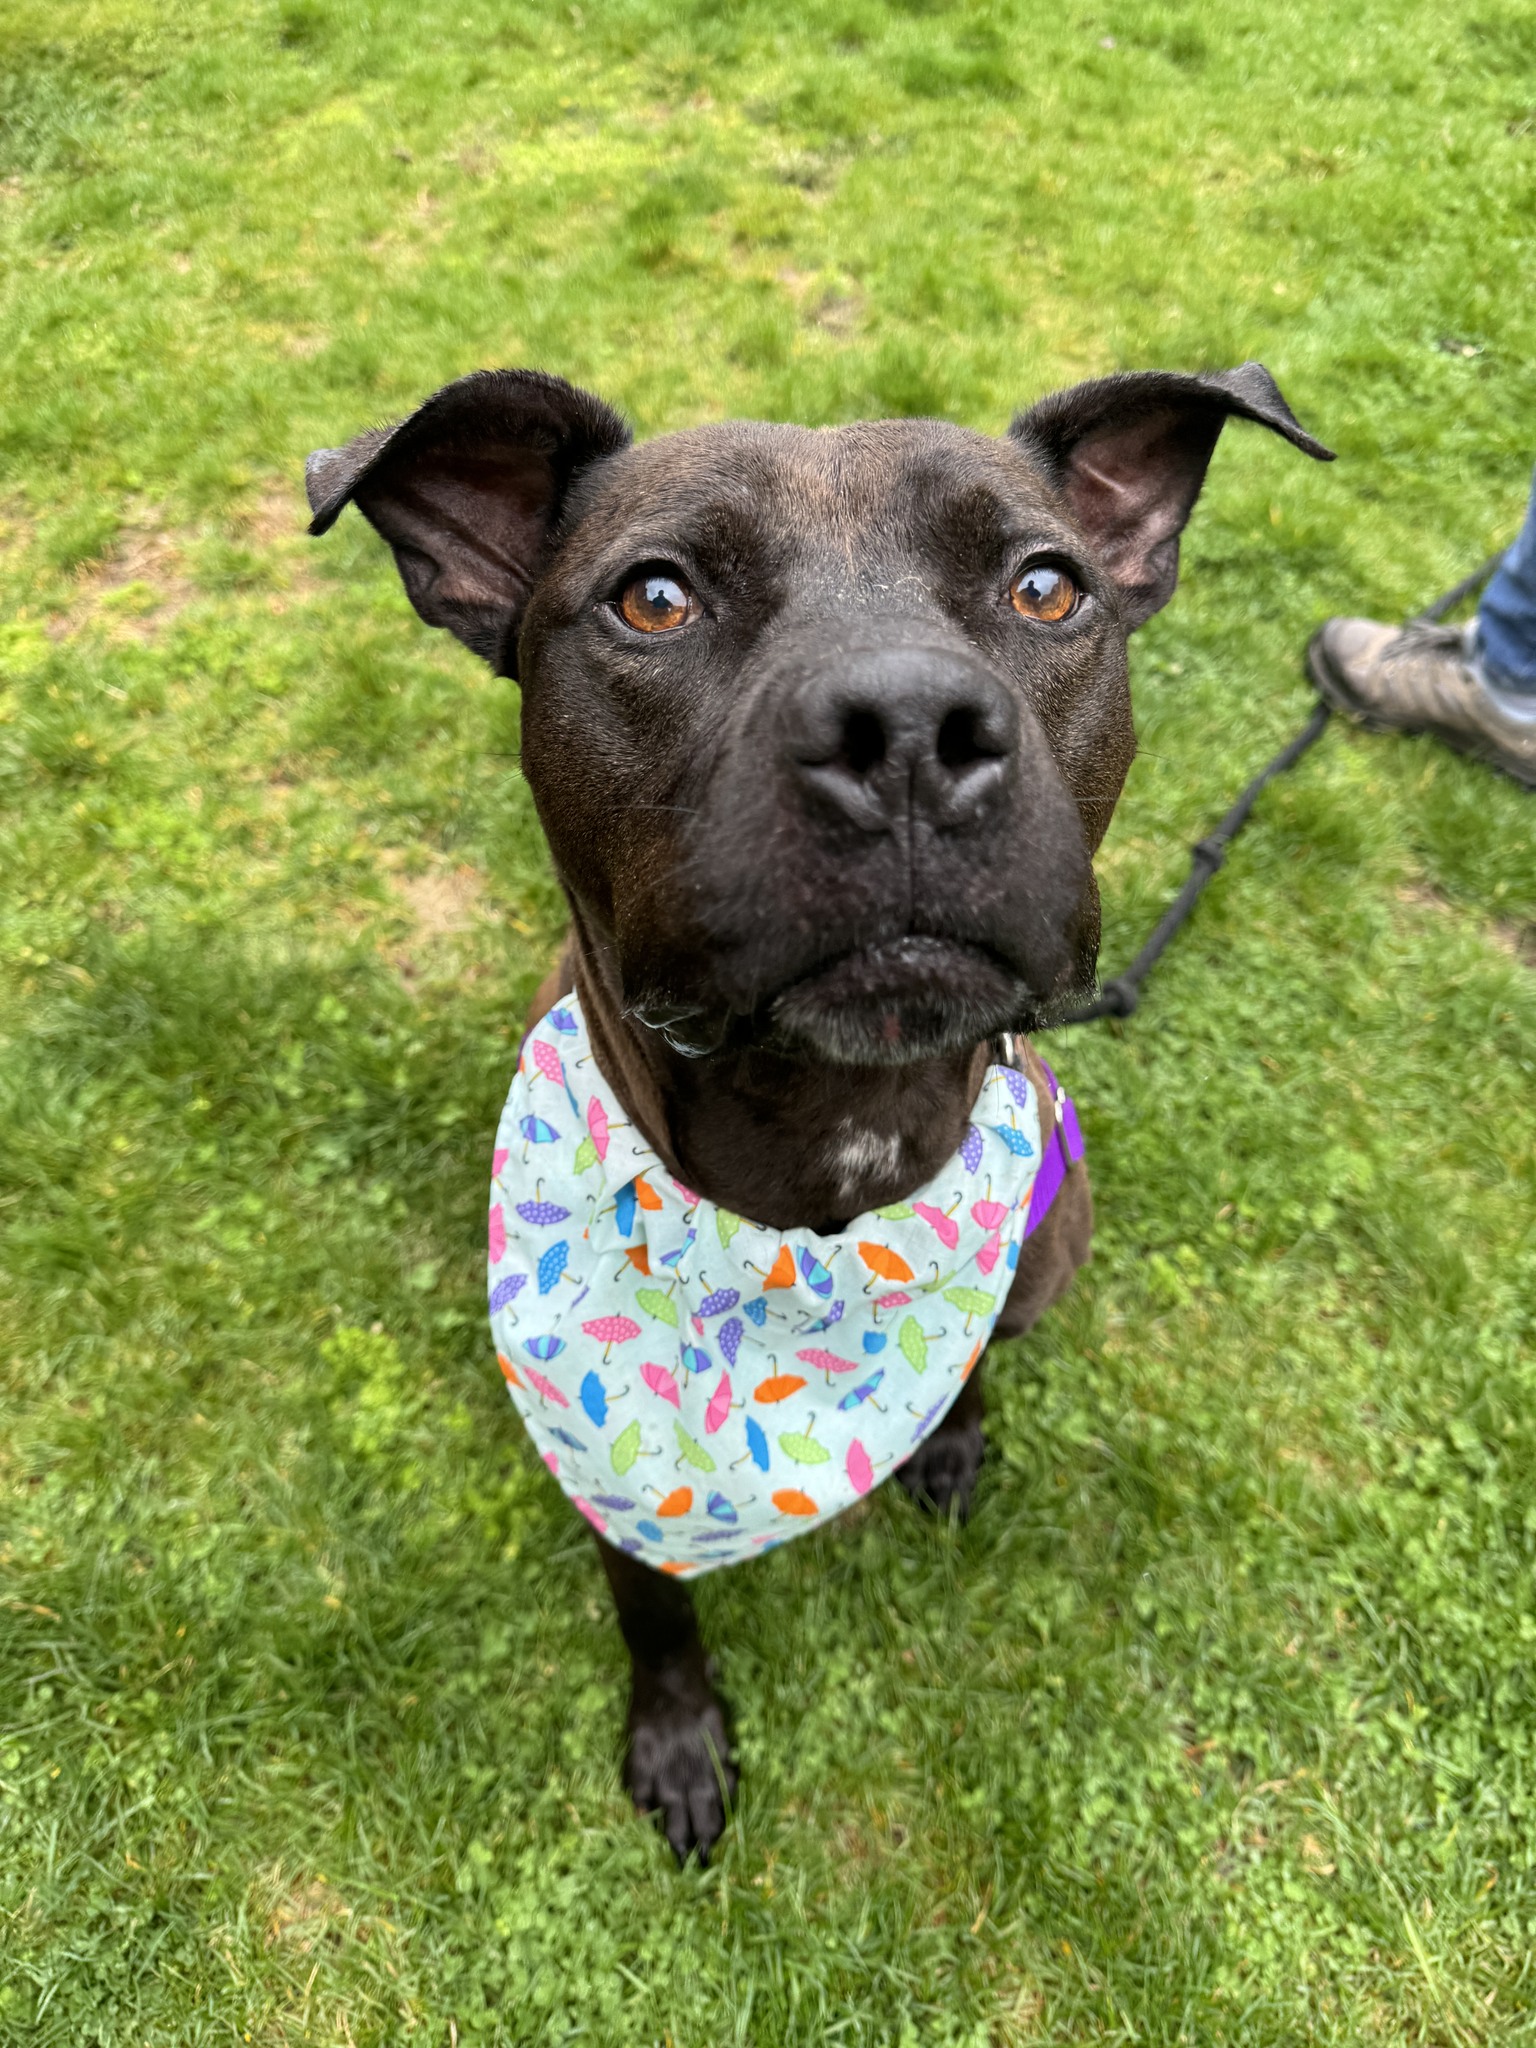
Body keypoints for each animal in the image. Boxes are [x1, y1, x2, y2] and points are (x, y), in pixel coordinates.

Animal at [307, 360, 1327, 1867]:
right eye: (655, 597)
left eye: (1045, 588)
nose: (906, 731)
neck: (831, 1144)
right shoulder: (610, 1465)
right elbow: (654, 1602)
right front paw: (678, 1736)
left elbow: (965, 1361)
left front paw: (948, 1437)